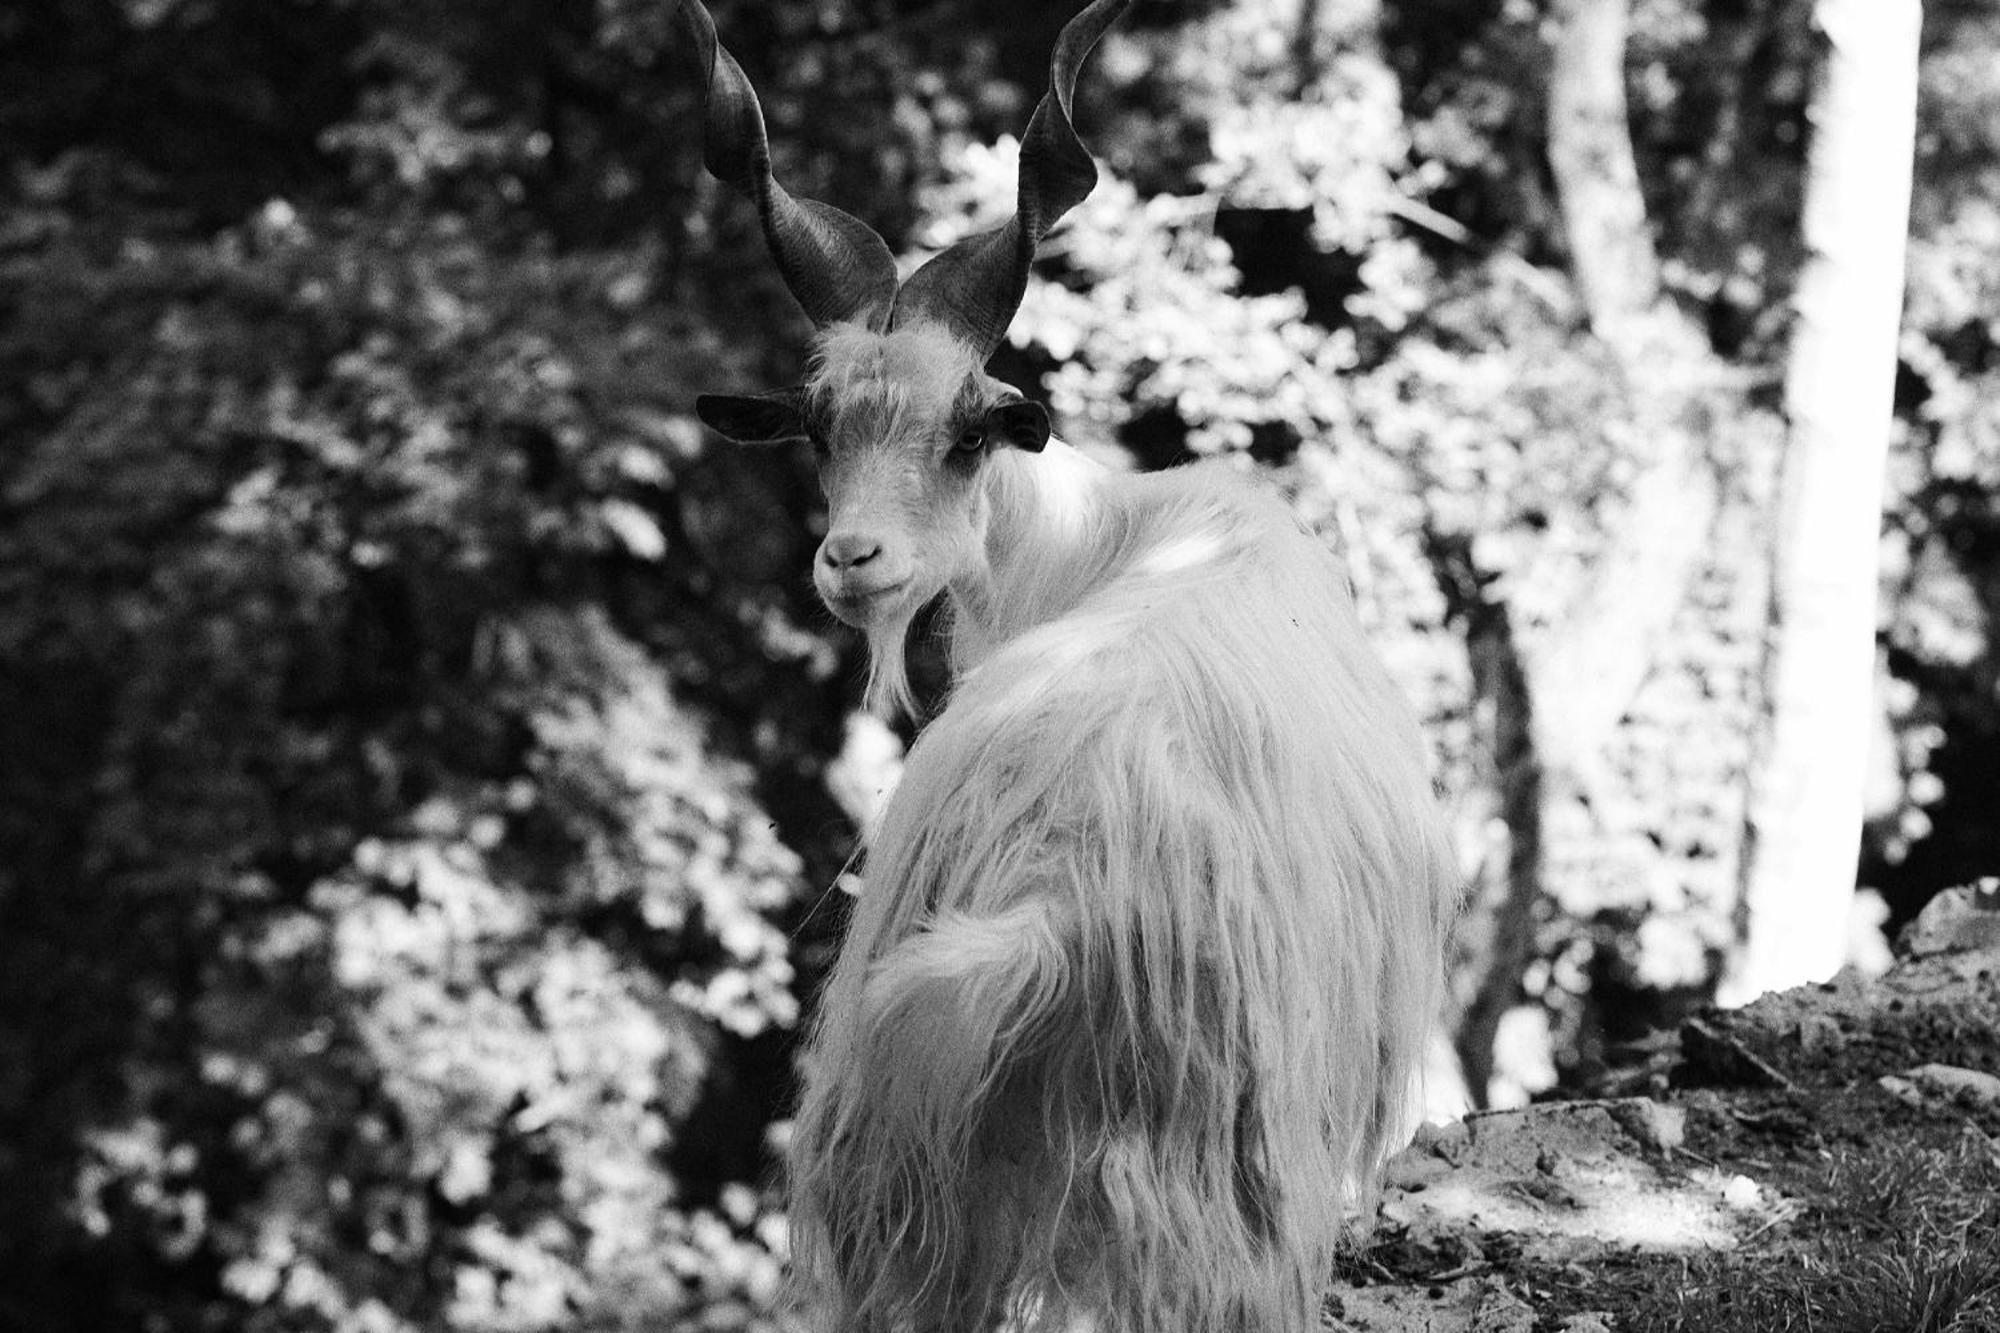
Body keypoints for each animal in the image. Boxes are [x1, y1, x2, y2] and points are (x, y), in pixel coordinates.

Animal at [680, 2, 1464, 1328]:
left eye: (966, 434)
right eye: (820, 428)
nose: (852, 560)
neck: (1107, 537)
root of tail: (1049, 896)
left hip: (907, 1184)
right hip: (1201, 1207)